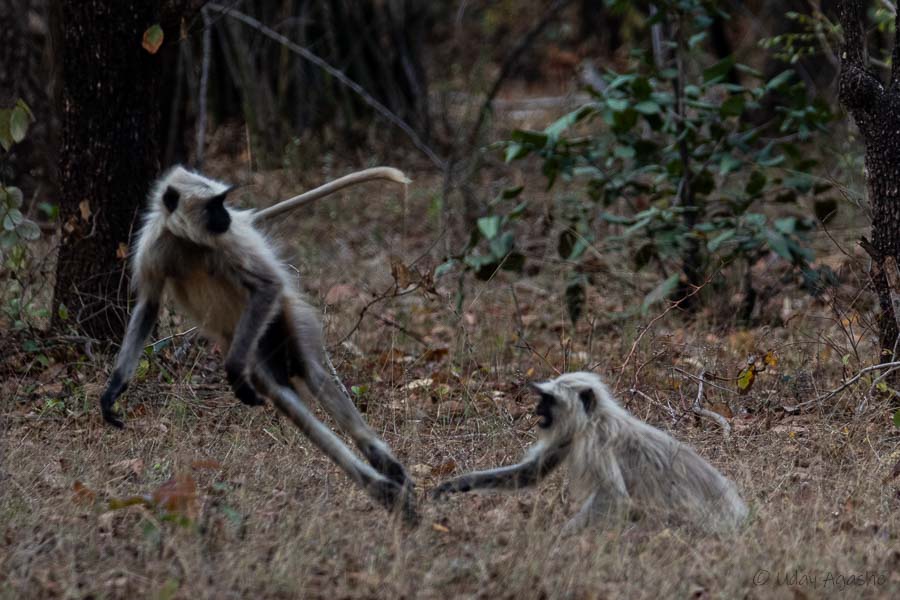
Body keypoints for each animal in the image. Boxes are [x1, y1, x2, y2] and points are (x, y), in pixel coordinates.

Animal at [100, 166, 416, 524]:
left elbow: (267, 286)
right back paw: (382, 487)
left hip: (283, 318)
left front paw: (234, 371)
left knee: (313, 374)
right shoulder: (152, 248)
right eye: (214, 205)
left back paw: (386, 469)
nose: (226, 216)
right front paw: (114, 388)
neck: (187, 241)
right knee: (285, 399)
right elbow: (149, 306)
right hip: (258, 346)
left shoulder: (230, 245)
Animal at [432, 370, 748, 536]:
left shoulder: (596, 442)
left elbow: (614, 497)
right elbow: (530, 473)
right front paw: (454, 485)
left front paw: (557, 540)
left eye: (548, 400)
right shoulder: (568, 436)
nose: (536, 410)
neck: (594, 418)